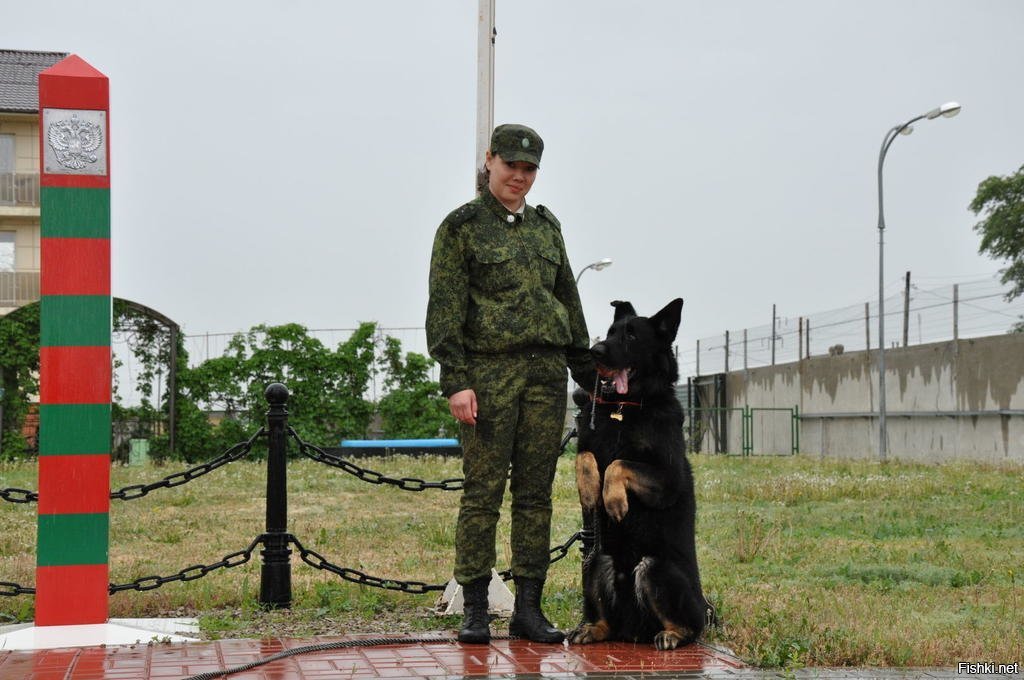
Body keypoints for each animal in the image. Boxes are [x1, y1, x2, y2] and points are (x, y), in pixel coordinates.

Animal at [569, 301, 712, 651]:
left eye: (632, 336)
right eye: (610, 332)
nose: (594, 352)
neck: (626, 406)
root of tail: (633, 632)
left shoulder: (667, 481)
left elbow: (620, 463)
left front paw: (614, 500)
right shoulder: (587, 441)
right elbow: (586, 457)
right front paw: (590, 488)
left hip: (655, 569)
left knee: (690, 627)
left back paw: (673, 635)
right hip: (597, 561)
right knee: (605, 622)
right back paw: (591, 628)